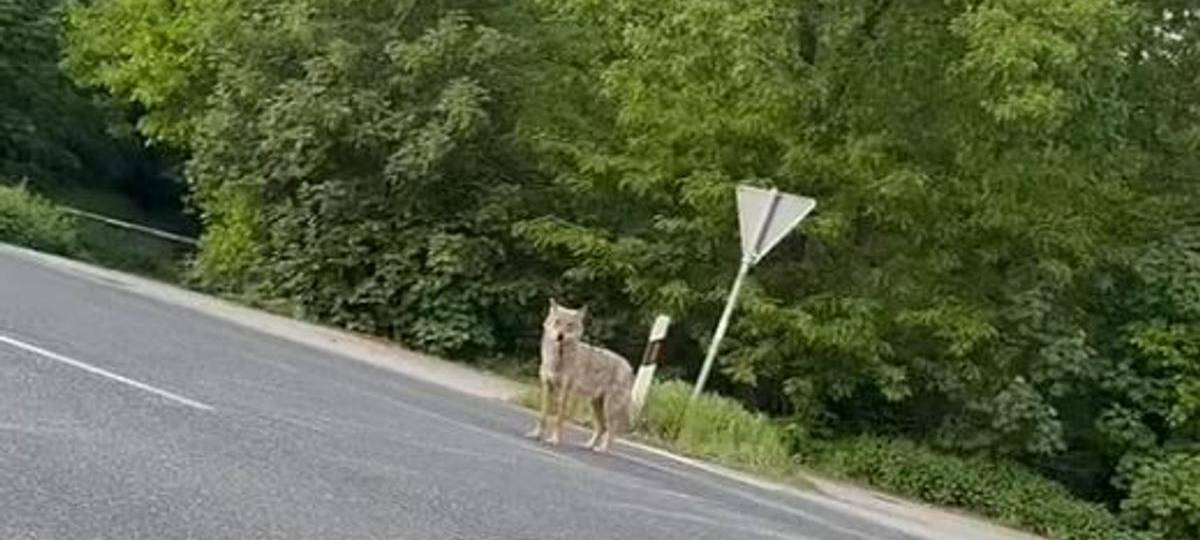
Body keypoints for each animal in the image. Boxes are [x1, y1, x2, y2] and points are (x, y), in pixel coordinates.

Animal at [525, 299, 634, 452]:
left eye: (569, 325)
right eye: (557, 322)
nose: (560, 336)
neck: (558, 359)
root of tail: (629, 366)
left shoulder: (565, 391)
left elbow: (559, 418)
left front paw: (554, 440)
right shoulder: (547, 386)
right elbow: (543, 416)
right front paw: (536, 435)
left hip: (609, 407)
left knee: (612, 430)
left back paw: (602, 449)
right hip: (595, 404)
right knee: (602, 427)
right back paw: (588, 445)